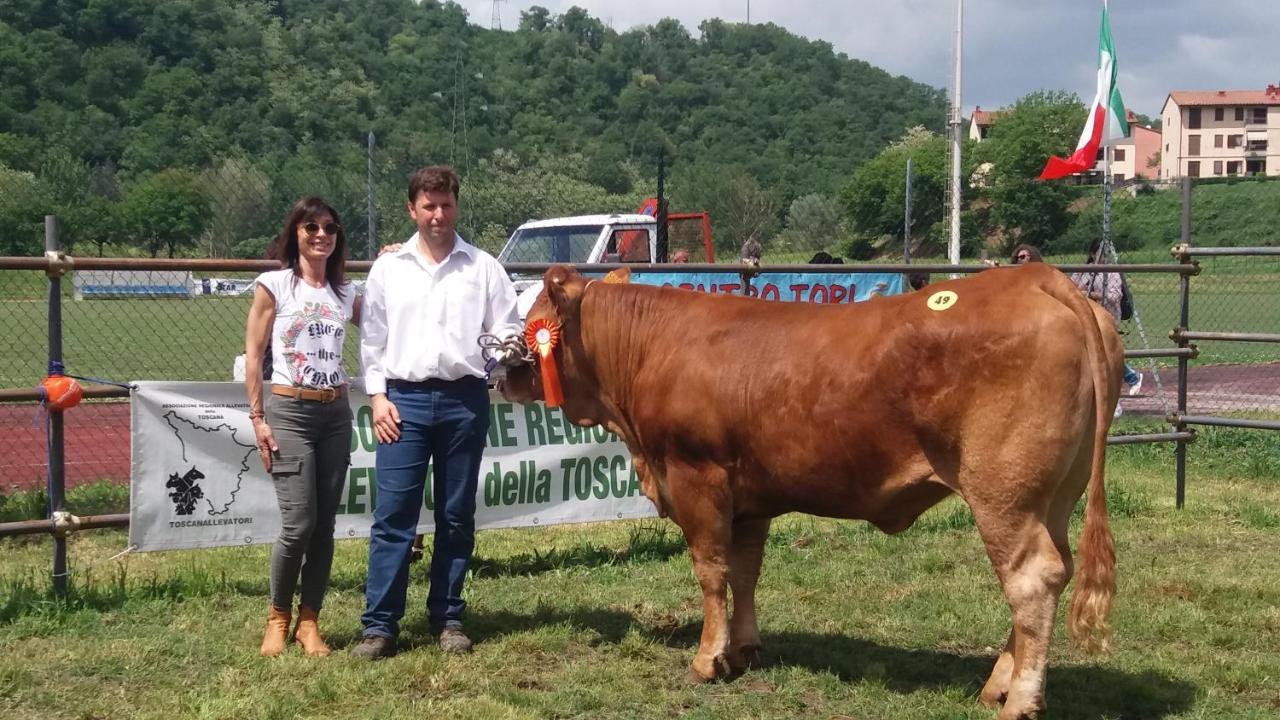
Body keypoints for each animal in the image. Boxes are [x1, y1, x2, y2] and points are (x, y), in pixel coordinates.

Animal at [496, 263, 1121, 717]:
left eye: (531, 317)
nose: (503, 371)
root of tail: (1040, 276)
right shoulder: (749, 498)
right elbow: (745, 572)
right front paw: (744, 650)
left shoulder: (697, 478)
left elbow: (711, 571)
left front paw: (707, 658)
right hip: (1054, 497)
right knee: (1054, 572)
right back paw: (998, 685)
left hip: (1004, 495)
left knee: (1031, 580)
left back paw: (1019, 702)